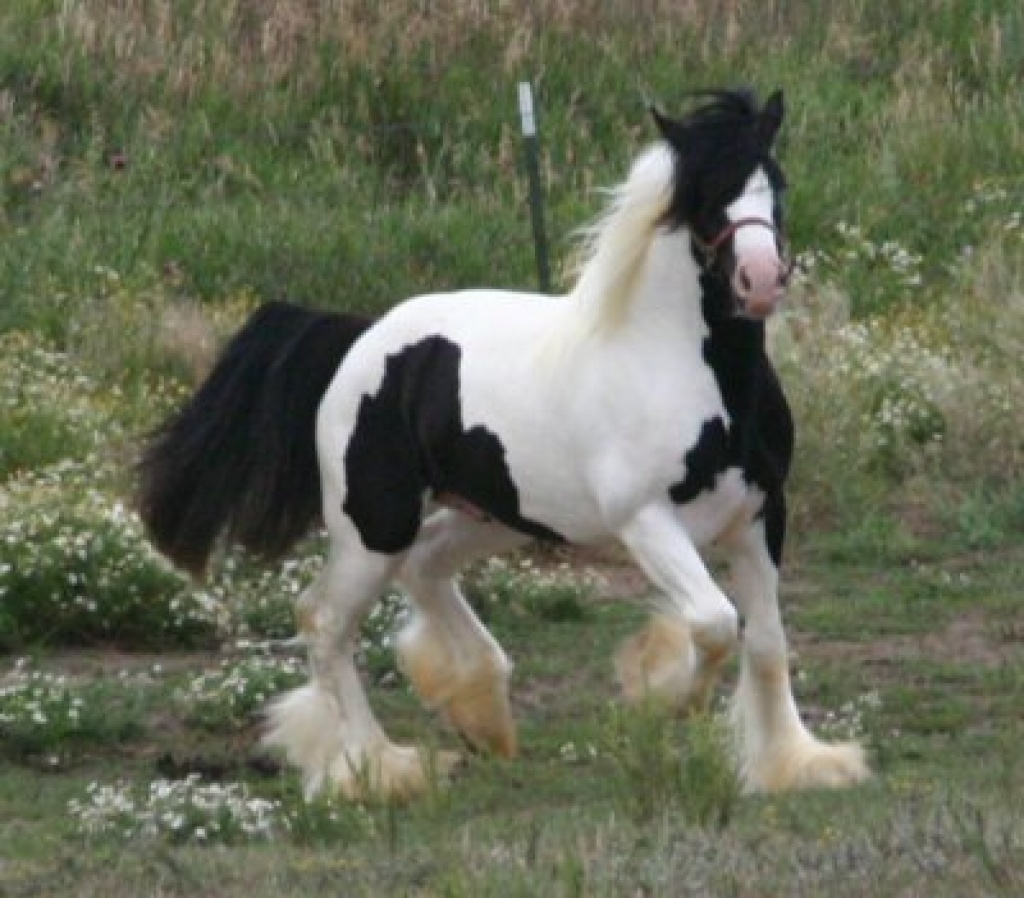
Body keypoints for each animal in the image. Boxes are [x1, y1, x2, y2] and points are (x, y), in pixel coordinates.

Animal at [139, 88, 870, 800]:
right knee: (325, 620)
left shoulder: (759, 515)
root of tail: (360, 339)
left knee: (424, 565)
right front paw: (662, 698)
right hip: (374, 526)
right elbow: (716, 623)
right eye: (704, 192)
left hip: (494, 516)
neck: (685, 371)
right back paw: (375, 769)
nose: (761, 279)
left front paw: (795, 763)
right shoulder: (646, 522)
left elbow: (767, 642)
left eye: (775, 182)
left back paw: (480, 715)